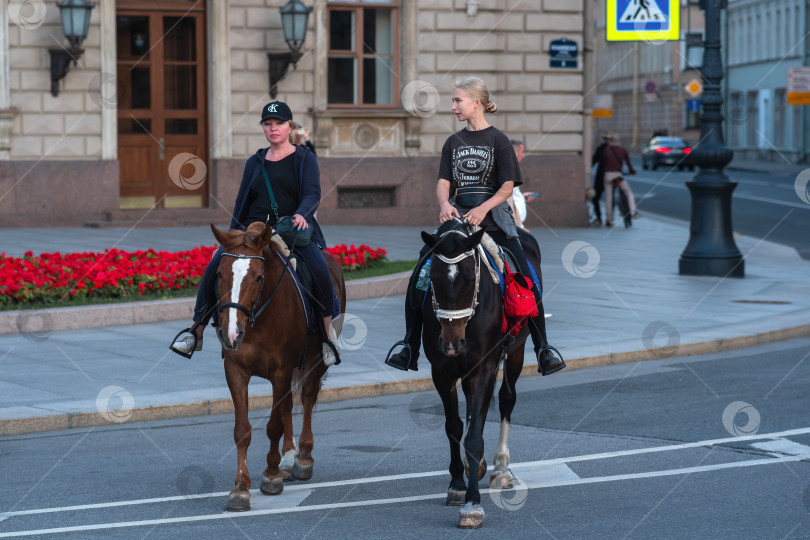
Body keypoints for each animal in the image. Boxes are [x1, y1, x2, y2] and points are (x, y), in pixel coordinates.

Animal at [208, 221, 344, 512]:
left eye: (258, 277)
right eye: (220, 274)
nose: (231, 333)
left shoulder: (280, 371)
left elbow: (273, 425)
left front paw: (270, 476)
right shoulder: (235, 371)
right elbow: (243, 430)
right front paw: (240, 488)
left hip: (314, 361)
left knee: (306, 398)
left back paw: (302, 458)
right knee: (289, 406)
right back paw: (288, 457)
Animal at [416, 219, 536, 528]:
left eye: (471, 279)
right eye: (433, 279)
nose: (451, 343)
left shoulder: (484, 367)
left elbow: (473, 438)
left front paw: (472, 505)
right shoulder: (442, 372)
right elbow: (454, 427)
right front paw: (458, 485)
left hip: (515, 353)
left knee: (506, 400)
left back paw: (501, 467)